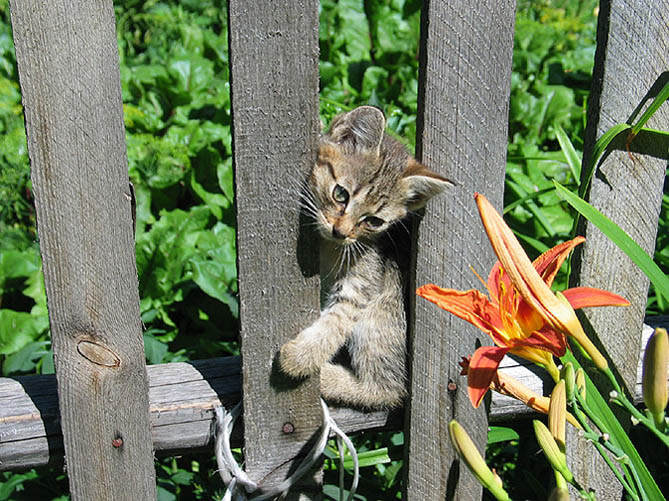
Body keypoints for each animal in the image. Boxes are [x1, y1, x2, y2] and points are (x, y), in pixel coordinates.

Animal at [276, 105, 448, 406]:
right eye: (340, 194)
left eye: (374, 221)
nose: (341, 232)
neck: (329, 247)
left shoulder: (363, 280)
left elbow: (337, 320)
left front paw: (299, 359)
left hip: (383, 312)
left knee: (388, 389)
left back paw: (328, 378)